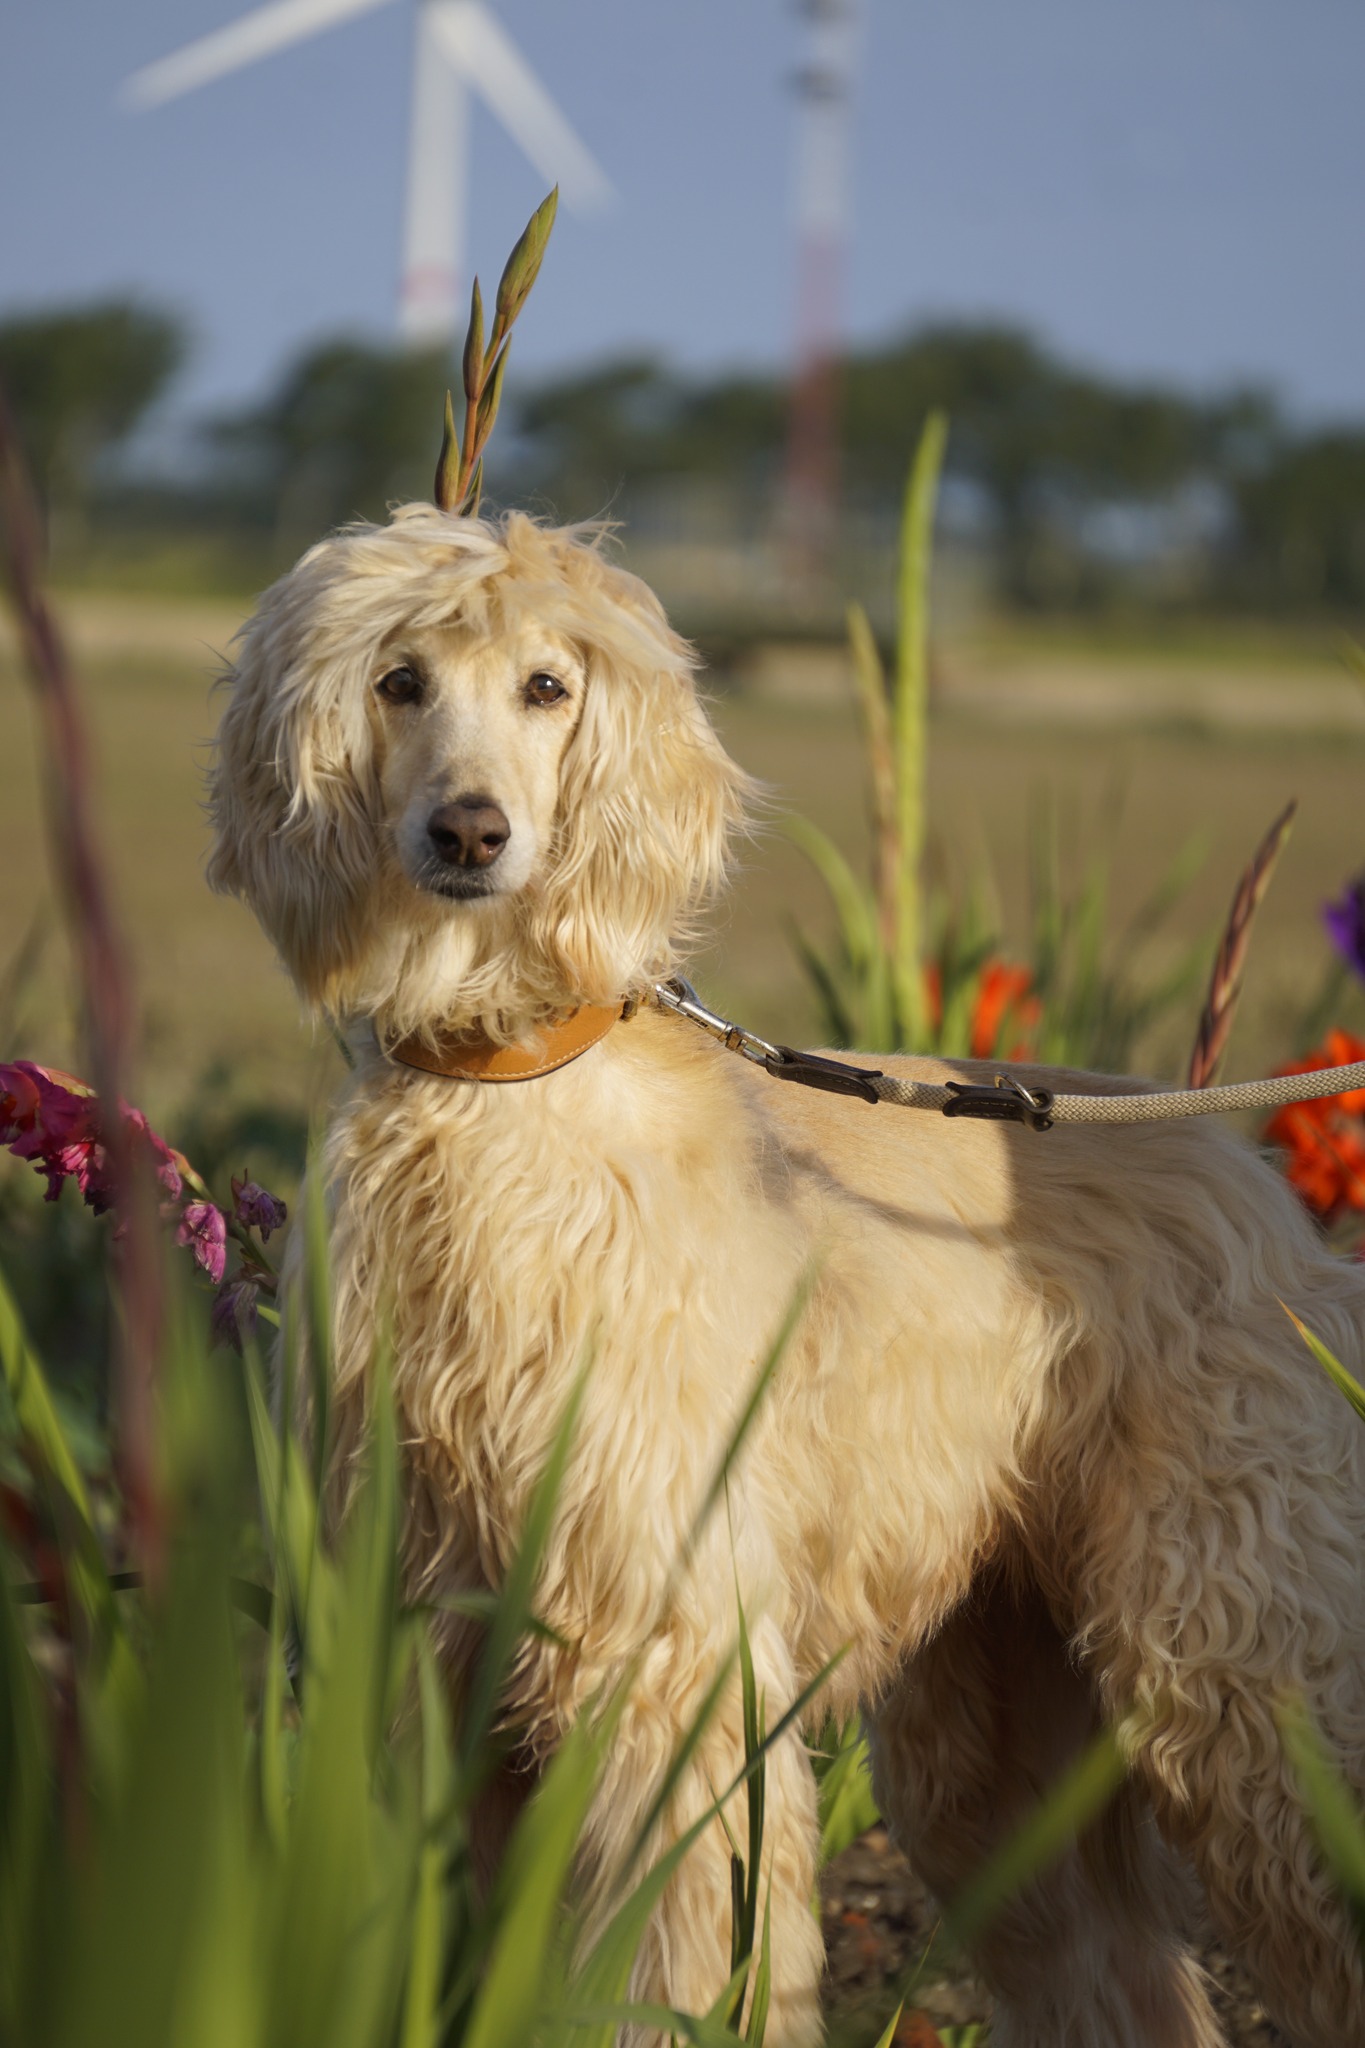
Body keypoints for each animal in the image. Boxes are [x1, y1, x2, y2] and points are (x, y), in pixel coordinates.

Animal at [208, 499, 1365, 2048]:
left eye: (547, 687)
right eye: (398, 682)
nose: (469, 831)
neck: (506, 1091)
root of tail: (1263, 1185)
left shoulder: (665, 1648)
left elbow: (684, 1959)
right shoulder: (413, 1649)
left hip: (1243, 1680)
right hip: (995, 1726)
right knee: (1124, 1978)